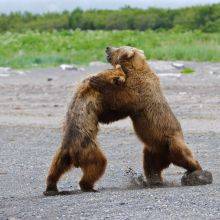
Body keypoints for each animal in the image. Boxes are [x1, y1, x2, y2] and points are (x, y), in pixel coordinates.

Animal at [43, 65, 126, 196]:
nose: (125, 78)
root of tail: (71, 151)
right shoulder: (98, 100)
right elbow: (109, 112)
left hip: (62, 154)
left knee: (55, 168)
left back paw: (51, 188)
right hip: (88, 148)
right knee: (98, 164)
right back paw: (88, 186)